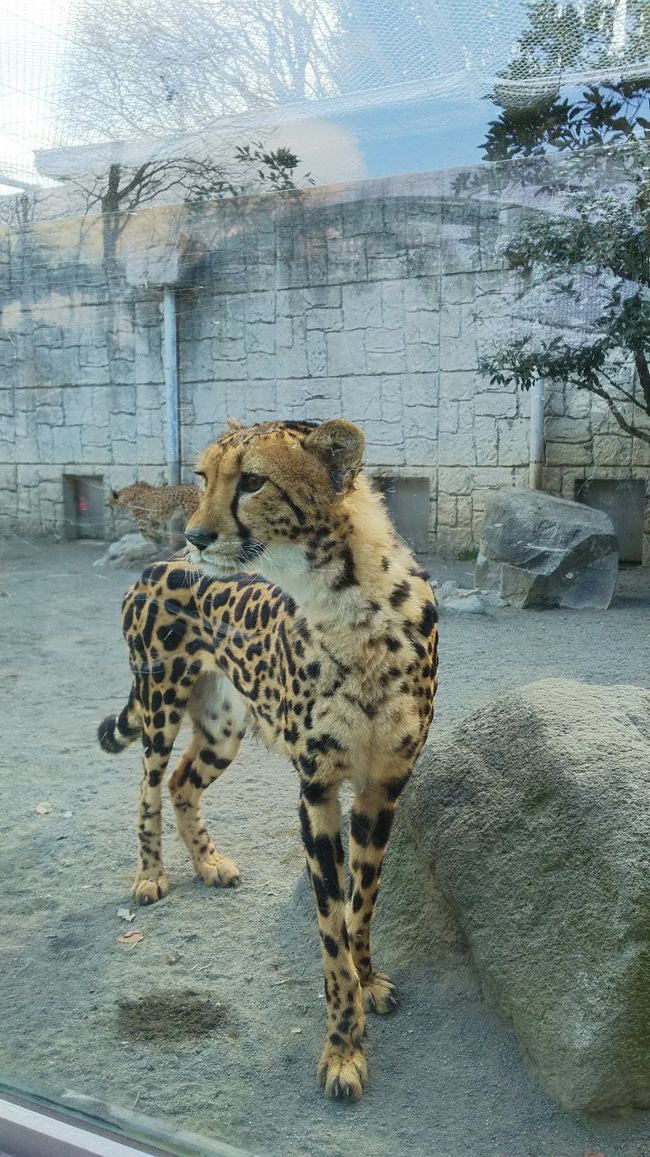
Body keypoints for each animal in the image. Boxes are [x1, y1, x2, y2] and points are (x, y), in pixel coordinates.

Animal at [97, 421, 434, 1106]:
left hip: (223, 727)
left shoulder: (383, 785)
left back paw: (210, 864)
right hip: (158, 707)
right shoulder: (316, 789)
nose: (196, 535)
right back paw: (151, 875)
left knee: (183, 783)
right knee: (148, 785)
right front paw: (343, 1049)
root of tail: (155, 563)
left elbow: (363, 903)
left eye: (253, 480)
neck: (349, 603)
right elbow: (330, 927)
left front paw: (368, 979)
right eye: (203, 478)